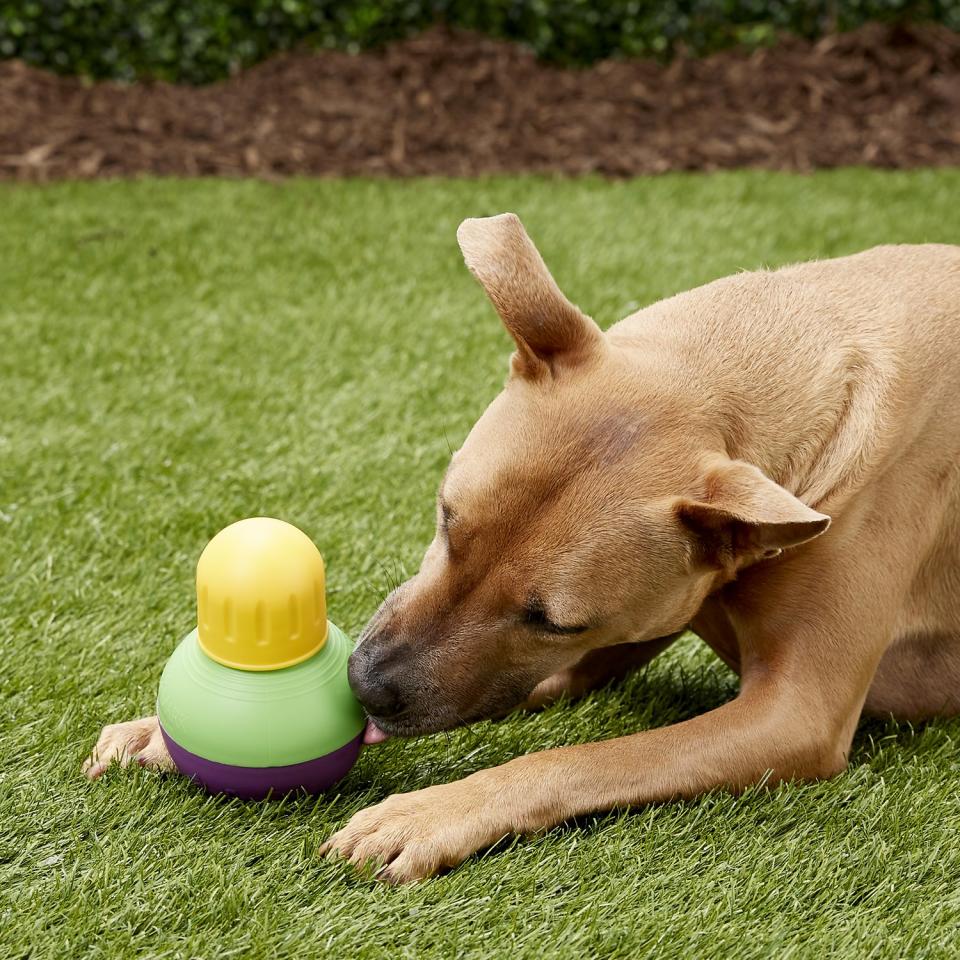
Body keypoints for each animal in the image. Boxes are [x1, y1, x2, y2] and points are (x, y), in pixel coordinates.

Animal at [84, 216, 960, 884]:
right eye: (447, 518)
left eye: (554, 620)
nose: (366, 686)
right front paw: (164, 735)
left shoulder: (793, 713)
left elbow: (576, 759)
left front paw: (432, 813)